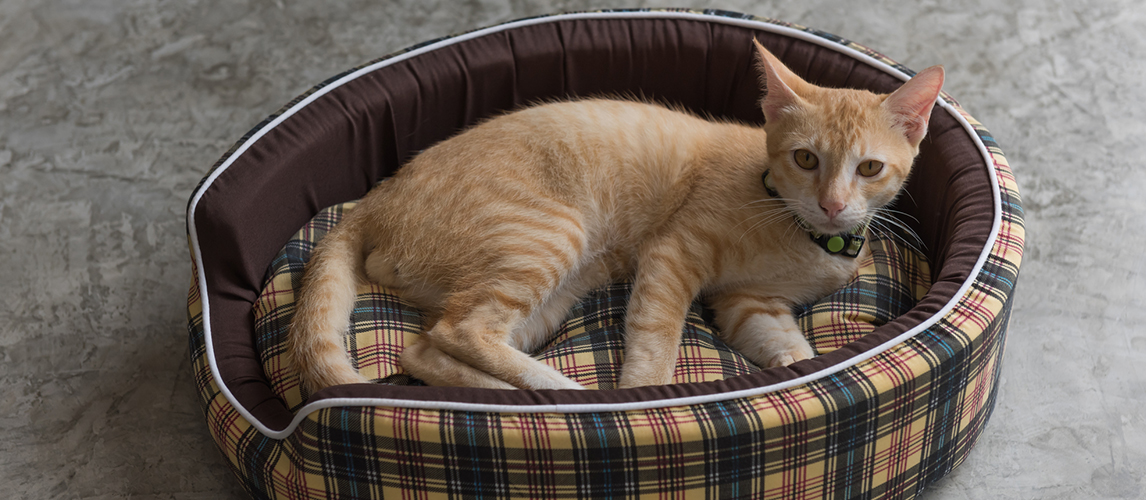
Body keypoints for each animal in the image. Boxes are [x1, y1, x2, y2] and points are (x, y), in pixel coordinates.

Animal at [286, 40, 939, 392]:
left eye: (869, 168)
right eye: (807, 158)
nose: (832, 203)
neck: (798, 230)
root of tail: (378, 198)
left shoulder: (749, 303)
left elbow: (785, 343)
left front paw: (798, 368)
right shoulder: (673, 254)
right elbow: (656, 337)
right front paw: (645, 396)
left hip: (547, 301)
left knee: (422, 352)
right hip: (548, 240)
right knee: (459, 331)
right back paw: (560, 392)